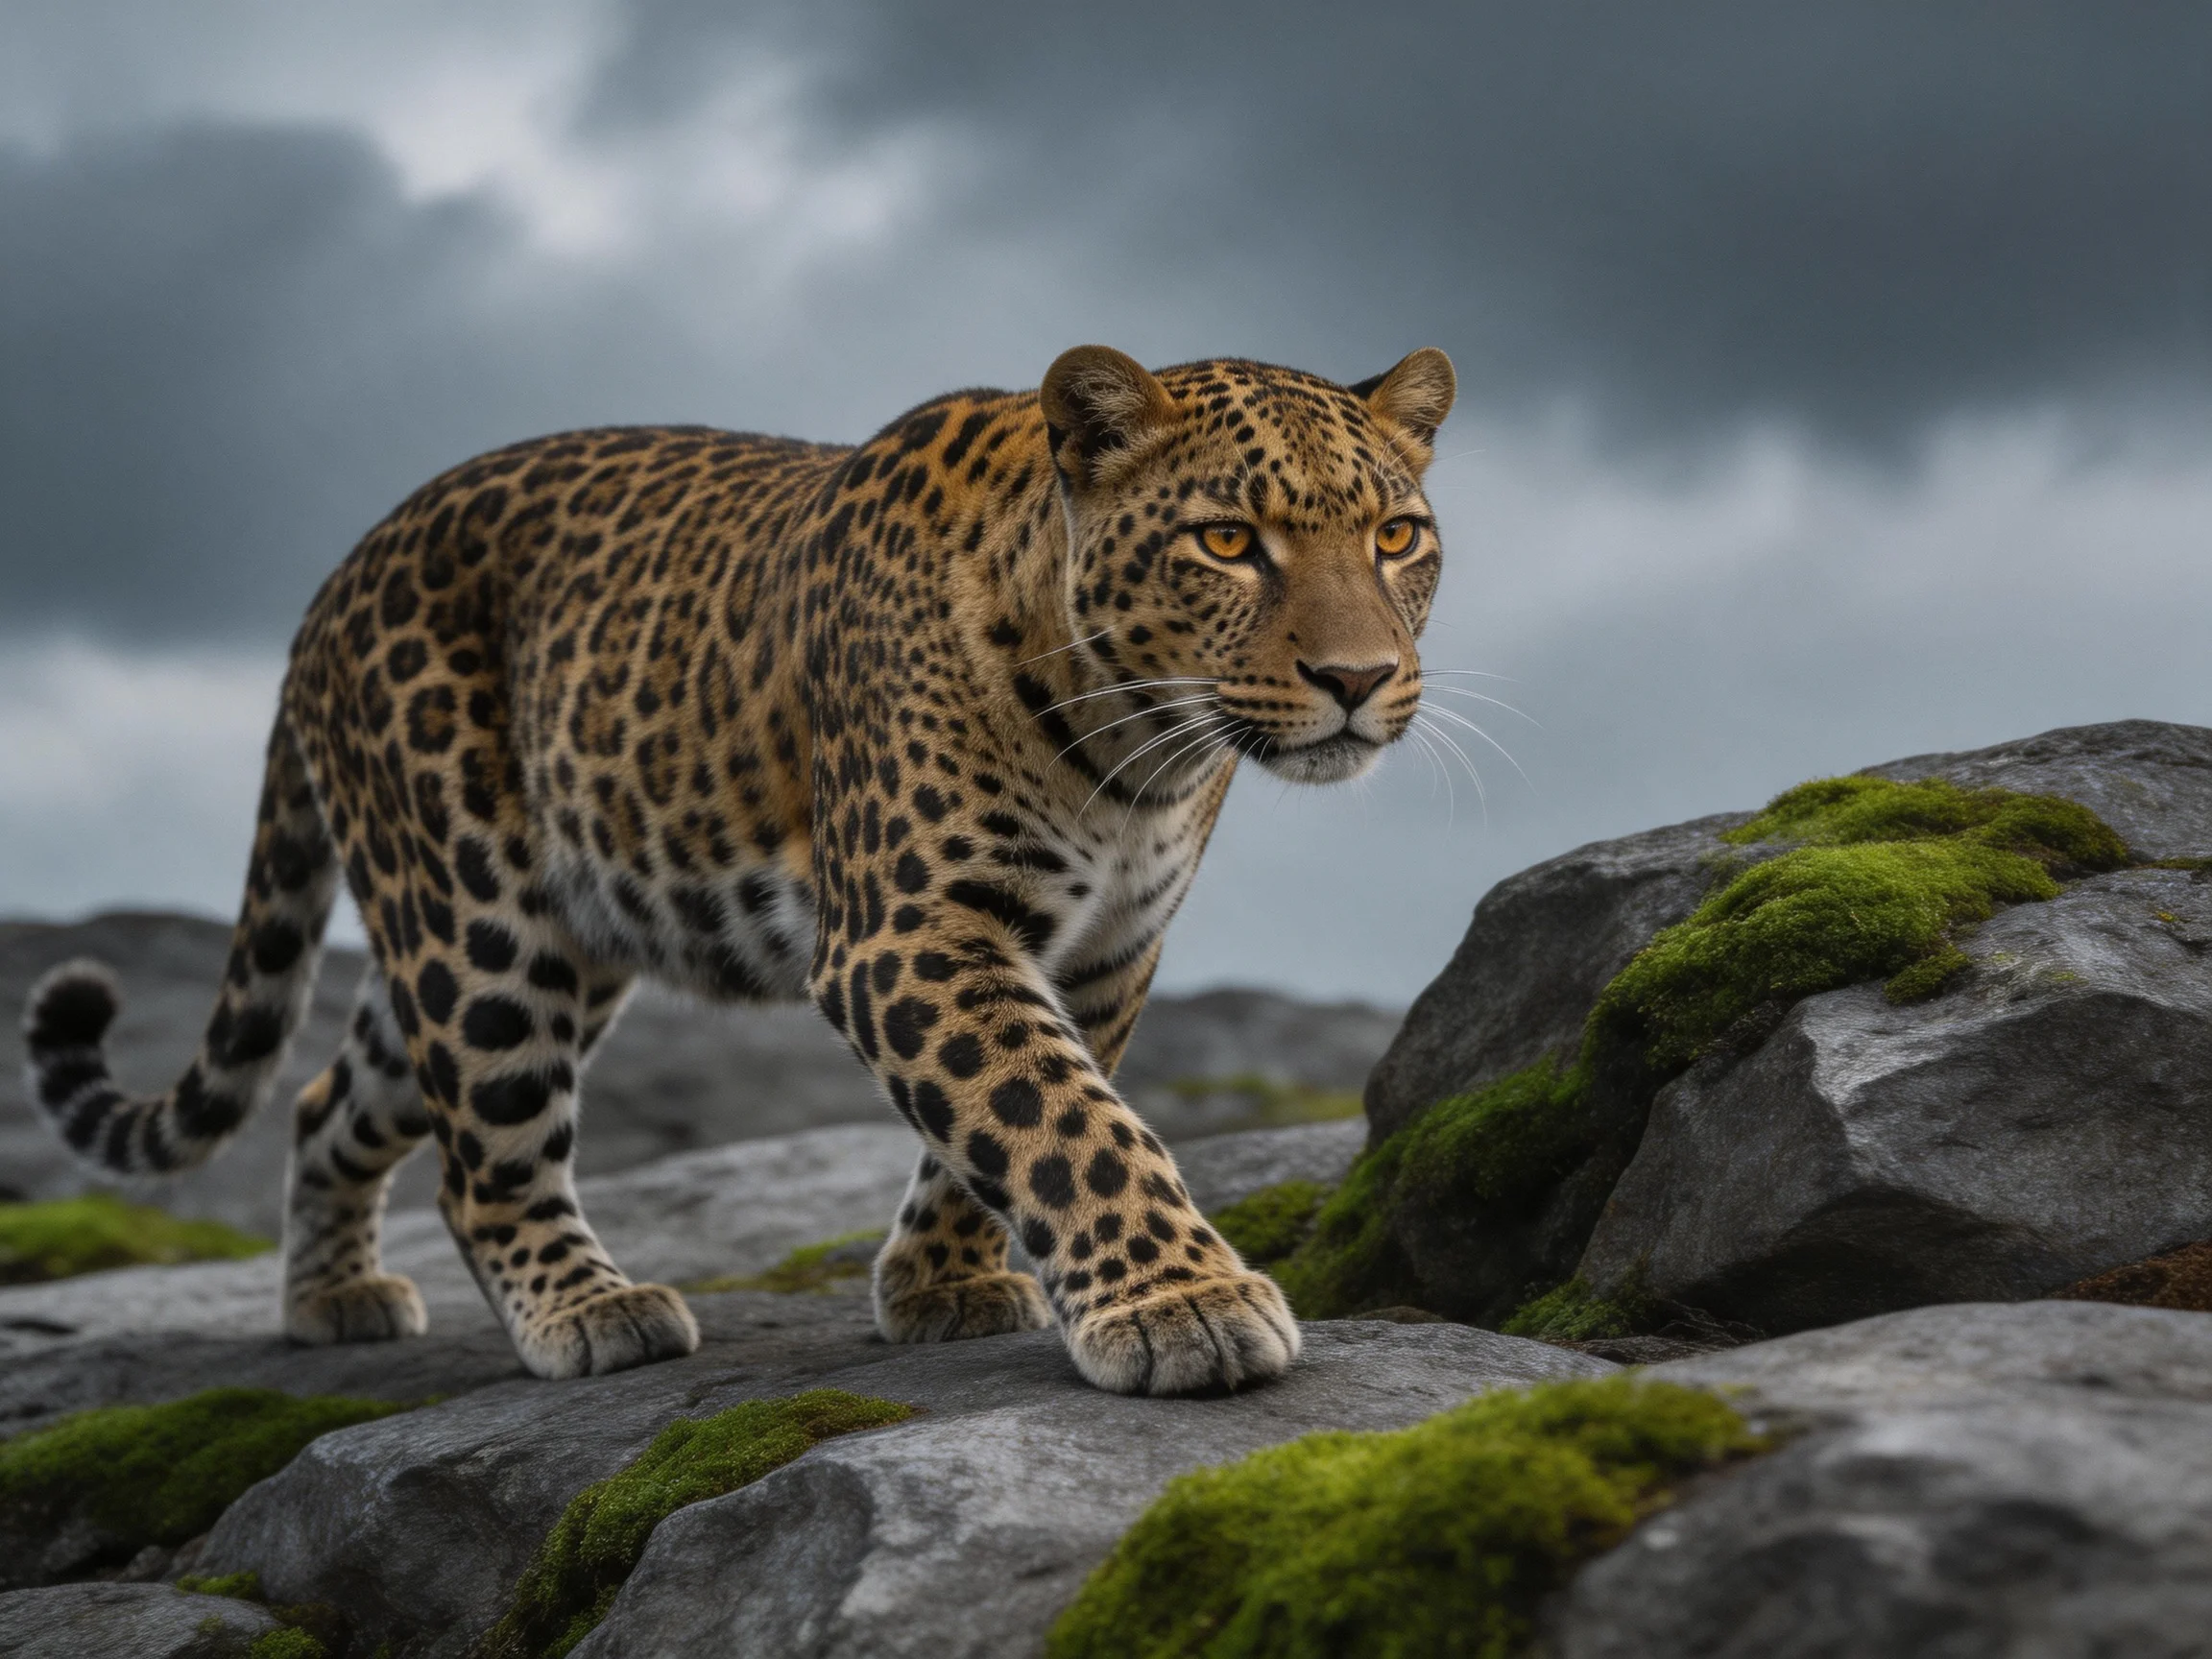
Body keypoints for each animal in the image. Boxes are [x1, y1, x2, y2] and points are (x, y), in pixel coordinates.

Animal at [22, 344, 1456, 1394]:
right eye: (1228, 542)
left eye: (1396, 539)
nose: (1358, 679)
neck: (1134, 749)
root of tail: (330, 582)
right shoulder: (910, 931)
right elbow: (1059, 1118)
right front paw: (1186, 1305)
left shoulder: (1103, 951)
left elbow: (999, 1120)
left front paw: (941, 1286)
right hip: (482, 923)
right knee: (481, 1154)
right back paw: (593, 1310)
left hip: (531, 923)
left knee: (334, 1092)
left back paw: (331, 1300)